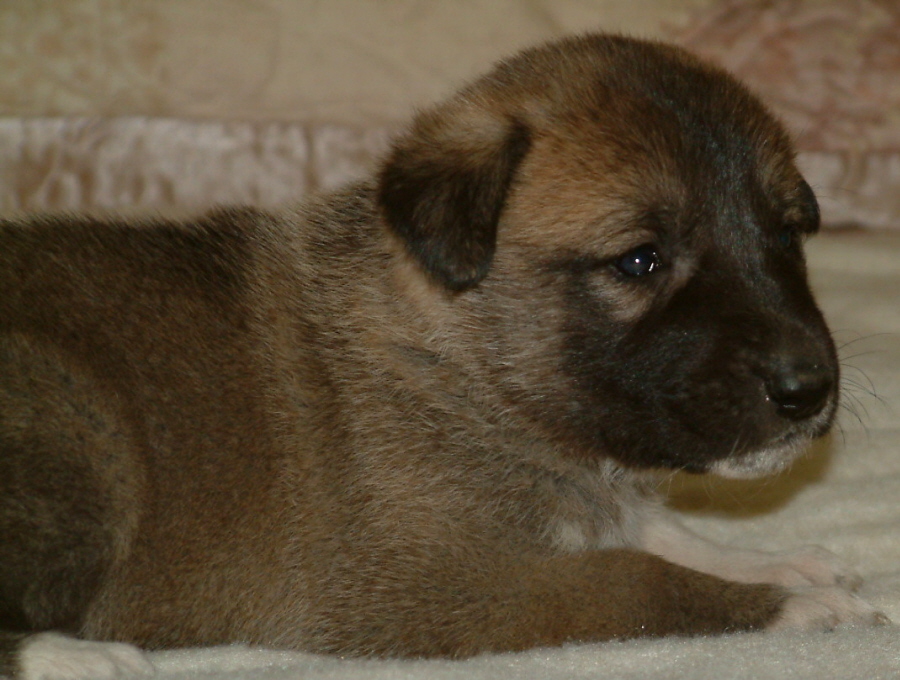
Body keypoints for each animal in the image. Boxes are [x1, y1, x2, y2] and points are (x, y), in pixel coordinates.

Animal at [0, 33, 884, 680]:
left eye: (787, 235)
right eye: (640, 260)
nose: (809, 389)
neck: (451, 359)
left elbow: (659, 530)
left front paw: (783, 563)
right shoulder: (431, 585)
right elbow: (638, 577)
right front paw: (791, 610)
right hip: (80, 433)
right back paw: (75, 656)